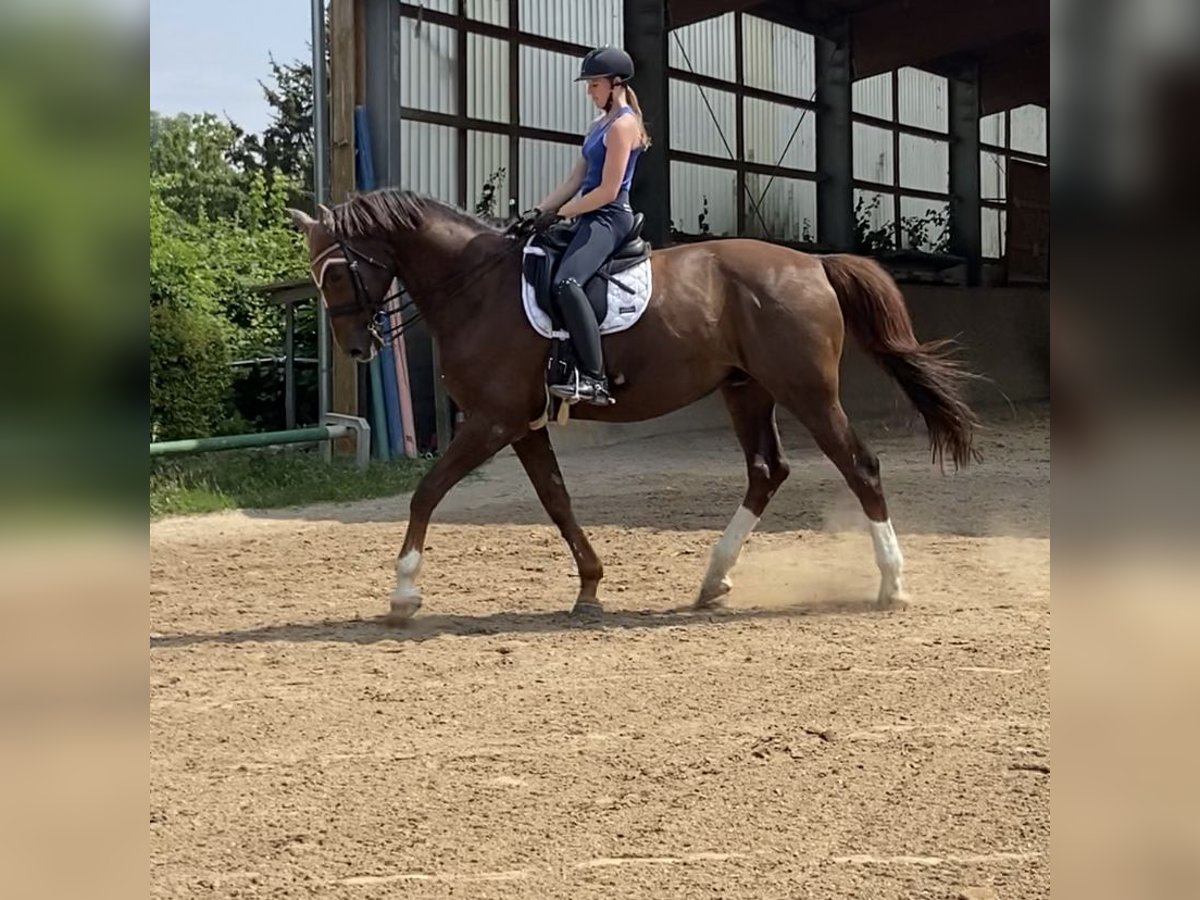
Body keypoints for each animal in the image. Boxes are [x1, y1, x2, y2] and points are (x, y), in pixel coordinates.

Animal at [288, 188, 974, 628]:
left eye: (338, 273)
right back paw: (713, 580)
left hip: (806, 391)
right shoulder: (521, 425)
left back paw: (892, 583)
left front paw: (404, 593)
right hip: (746, 390)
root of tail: (812, 263)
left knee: (859, 466)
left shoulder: (492, 421)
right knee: (766, 472)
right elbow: (557, 500)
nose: (357, 347)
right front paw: (590, 588)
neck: (477, 289)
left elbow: (427, 492)